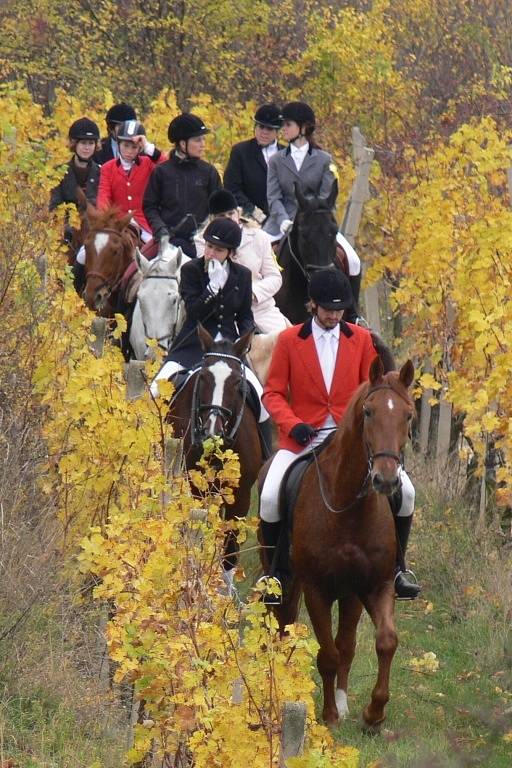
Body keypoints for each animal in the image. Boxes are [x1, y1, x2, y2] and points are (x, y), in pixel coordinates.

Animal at [167, 326, 264, 576]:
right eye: (203, 377)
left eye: (237, 382)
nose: (212, 430)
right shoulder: (196, 489)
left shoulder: (240, 496)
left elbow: (229, 553)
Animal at [268, 356, 416, 728]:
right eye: (368, 412)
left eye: (408, 415)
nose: (386, 479)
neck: (349, 507)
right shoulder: (316, 590)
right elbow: (327, 654)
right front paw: (329, 716)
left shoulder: (377, 585)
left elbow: (384, 641)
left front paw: (373, 713)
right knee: (284, 627)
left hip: (351, 594)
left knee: (346, 643)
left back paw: (343, 699)